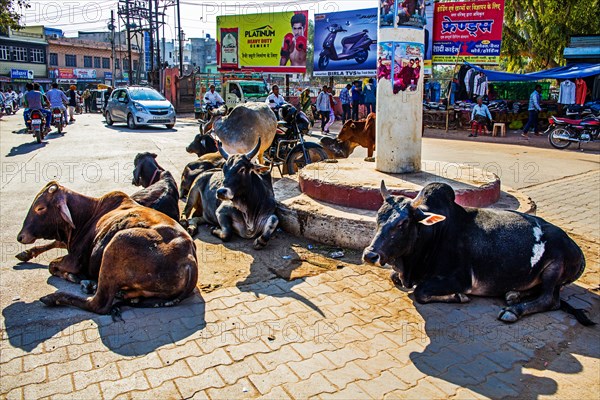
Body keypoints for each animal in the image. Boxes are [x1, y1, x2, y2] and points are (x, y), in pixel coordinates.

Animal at [16, 181, 198, 316]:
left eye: (40, 207)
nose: (20, 236)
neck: (88, 215)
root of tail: (189, 259)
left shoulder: (74, 259)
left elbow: (52, 265)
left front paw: (75, 277)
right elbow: (55, 243)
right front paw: (25, 253)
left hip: (117, 243)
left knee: (98, 304)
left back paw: (55, 297)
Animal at [360, 181, 596, 324]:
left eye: (403, 223)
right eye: (378, 217)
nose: (370, 255)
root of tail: (576, 248)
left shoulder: (459, 279)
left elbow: (420, 292)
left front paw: (459, 297)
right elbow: (394, 277)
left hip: (554, 268)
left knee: (550, 299)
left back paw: (513, 310)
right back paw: (513, 295)